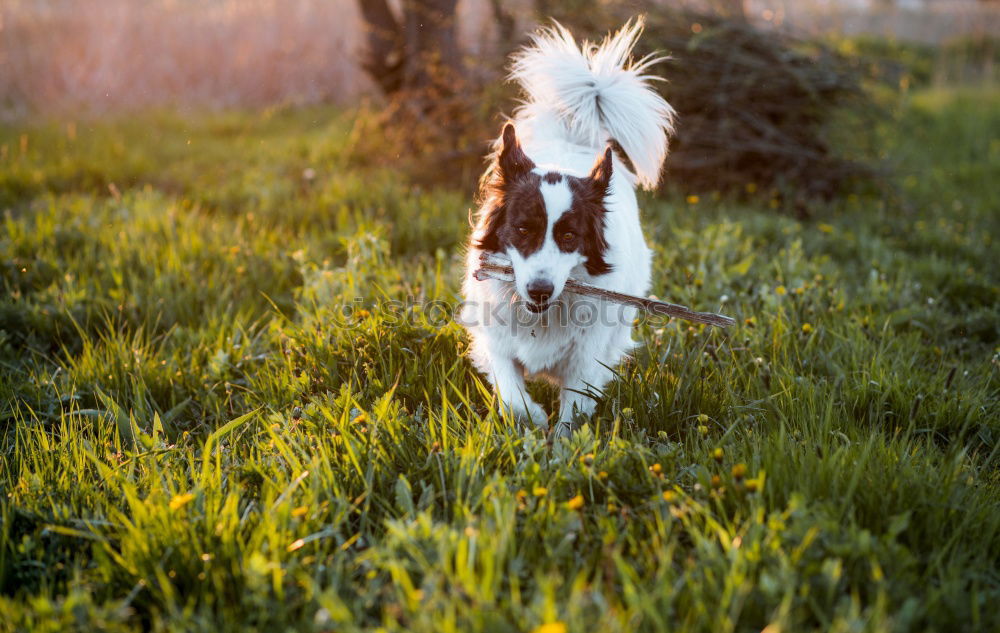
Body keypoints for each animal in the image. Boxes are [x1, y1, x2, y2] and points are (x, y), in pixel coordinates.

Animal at [464, 18, 676, 434]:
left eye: (568, 236)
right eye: (523, 230)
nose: (540, 290)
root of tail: (574, 136)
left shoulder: (586, 356)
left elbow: (574, 408)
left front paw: (561, 444)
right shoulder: (495, 341)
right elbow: (512, 393)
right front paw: (533, 420)